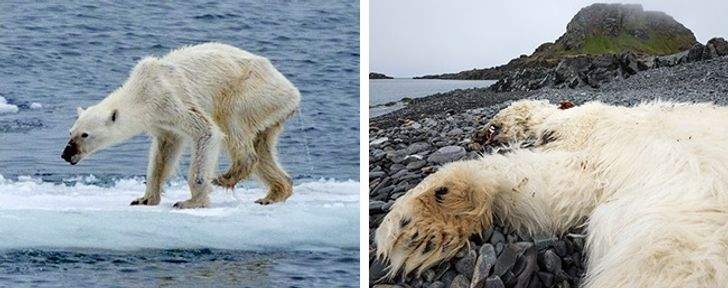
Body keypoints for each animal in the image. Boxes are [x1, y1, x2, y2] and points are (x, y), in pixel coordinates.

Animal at [61, 42, 300, 208]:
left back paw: (225, 177)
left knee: (233, 124)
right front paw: (145, 198)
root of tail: (292, 91)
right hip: (270, 111)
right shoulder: (161, 121)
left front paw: (191, 202)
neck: (142, 91)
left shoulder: (171, 99)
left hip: (251, 92)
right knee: (263, 147)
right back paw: (274, 193)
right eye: (70, 132)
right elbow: (164, 153)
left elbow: (207, 132)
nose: (66, 154)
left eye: (85, 135)